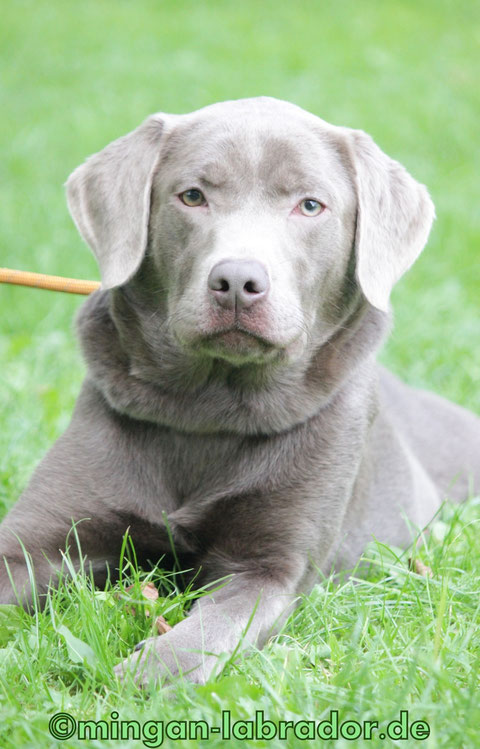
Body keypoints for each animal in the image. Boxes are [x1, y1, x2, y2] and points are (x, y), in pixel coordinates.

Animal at [0, 98, 480, 684]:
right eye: (192, 196)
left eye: (310, 205)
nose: (236, 281)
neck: (209, 408)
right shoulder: (33, 543)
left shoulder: (270, 568)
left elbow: (211, 629)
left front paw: (151, 674)